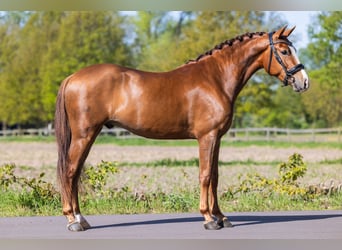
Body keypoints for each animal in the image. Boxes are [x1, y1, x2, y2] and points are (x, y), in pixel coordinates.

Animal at [54, 26, 310, 231]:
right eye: (284, 51)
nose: (304, 82)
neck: (215, 78)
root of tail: (72, 77)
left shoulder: (217, 138)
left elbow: (215, 176)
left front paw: (222, 217)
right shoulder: (207, 137)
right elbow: (205, 175)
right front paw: (208, 218)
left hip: (89, 135)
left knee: (75, 173)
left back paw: (81, 218)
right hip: (84, 135)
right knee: (70, 172)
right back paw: (73, 220)